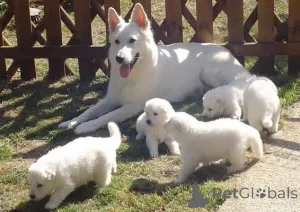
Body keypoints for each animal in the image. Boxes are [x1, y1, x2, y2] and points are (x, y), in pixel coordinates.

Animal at [58, 2, 248, 134]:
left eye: (132, 41)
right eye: (117, 41)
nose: (119, 58)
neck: (134, 75)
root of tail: (225, 50)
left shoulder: (132, 106)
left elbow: (107, 116)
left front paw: (87, 126)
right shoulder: (110, 99)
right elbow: (90, 110)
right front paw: (72, 121)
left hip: (209, 74)